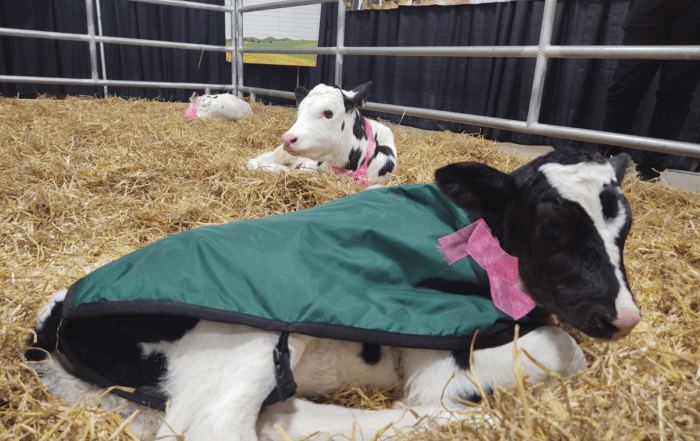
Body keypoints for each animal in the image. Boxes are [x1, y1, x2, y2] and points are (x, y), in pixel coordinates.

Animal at [27, 148, 640, 440]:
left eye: (625, 228)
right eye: (551, 230)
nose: (624, 317)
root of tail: (57, 311)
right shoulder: (441, 356)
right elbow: (567, 350)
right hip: (246, 340)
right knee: (217, 429)